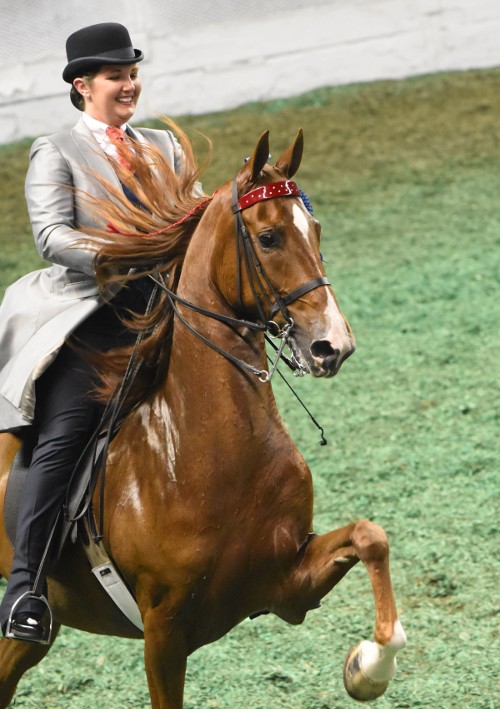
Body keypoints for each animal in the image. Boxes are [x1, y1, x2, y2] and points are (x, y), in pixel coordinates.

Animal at [0, 129, 404, 708]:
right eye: (269, 238)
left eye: (316, 228)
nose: (333, 346)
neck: (209, 450)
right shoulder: (164, 633)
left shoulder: (287, 584)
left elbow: (371, 536)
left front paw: (368, 667)